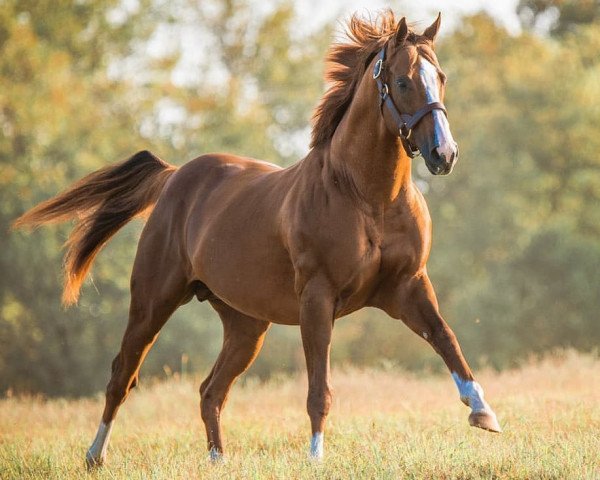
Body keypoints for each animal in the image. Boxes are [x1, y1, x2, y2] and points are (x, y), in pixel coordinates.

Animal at [15, 12, 502, 468]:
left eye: (440, 77)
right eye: (402, 80)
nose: (444, 154)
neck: (368, 198)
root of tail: (174, 177)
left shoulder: (407, 286)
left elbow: (447, 340)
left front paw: (484, 413)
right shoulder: (318, 299)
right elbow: (319, 388)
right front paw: (316, 457)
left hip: (245, 325)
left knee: (210, 390)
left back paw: (217, 460)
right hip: (153, 301)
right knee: (122, 375)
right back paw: (95, 456)